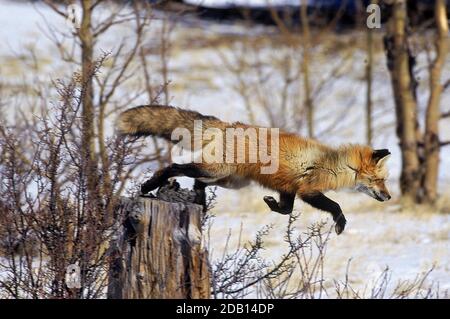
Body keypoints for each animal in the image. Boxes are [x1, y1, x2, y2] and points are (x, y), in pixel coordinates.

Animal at [118, 105, 390, 235]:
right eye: (379, 180)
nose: (388, 196)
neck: (335, 164)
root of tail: (227, 125)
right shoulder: (308, 190)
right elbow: (336, 206)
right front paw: (340, 224)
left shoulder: (288, 187)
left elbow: (285, 210)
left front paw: (271, 204)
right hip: (215, 170)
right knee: (174, 167)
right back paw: (150, 185)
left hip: (229, 180)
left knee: (199, 183)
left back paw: (200, 203)